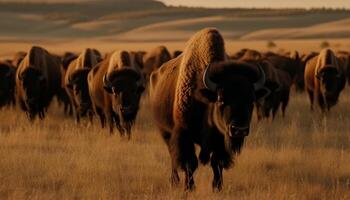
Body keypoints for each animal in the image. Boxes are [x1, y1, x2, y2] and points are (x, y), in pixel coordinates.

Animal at [150, 28, 268, 191]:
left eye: (251, 101)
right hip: (165, 132)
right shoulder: (184, 134)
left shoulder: (221, 138)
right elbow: (190, 163)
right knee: (173, 156)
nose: (239, 130)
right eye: (221, 100)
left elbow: (216, 162)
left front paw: (217, 186)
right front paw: (189, 187)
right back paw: (174, 181)